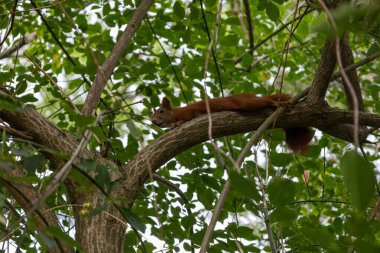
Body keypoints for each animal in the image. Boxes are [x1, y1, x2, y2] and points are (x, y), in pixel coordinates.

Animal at [150, 93, 314, 152]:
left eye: (161, 111)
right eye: (152, 116)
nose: (153, 121)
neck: (176, 112)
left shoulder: (190, 111)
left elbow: (189, 116)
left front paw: (176, 124)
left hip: (246, 103)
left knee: (265, 101)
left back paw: (277, 103)